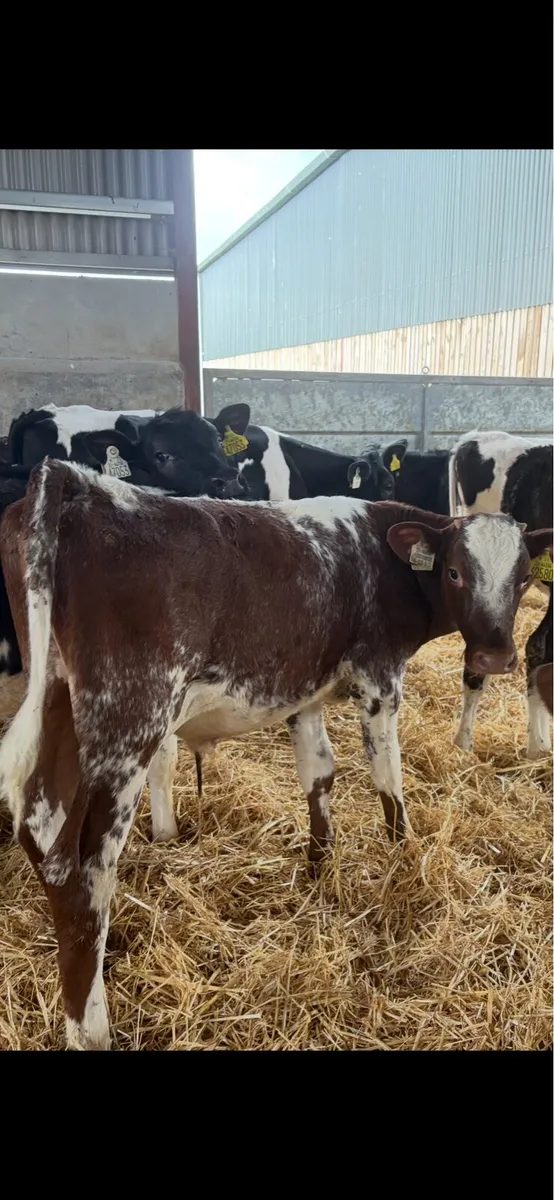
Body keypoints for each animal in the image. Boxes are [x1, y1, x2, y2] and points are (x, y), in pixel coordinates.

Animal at [0, 458, 549, 1050]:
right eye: (454, 573)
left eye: (523, 578)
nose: (494, 656)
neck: (375, 552)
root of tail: (79, 481)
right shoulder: (380, 680)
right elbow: (388, 778)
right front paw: (405, 862)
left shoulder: (303, 695)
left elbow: (320, 775)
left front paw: (320, 869)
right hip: (127, 725)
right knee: (79, 869)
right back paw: (92, 1028)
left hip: (57, 703)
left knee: (40, 831)